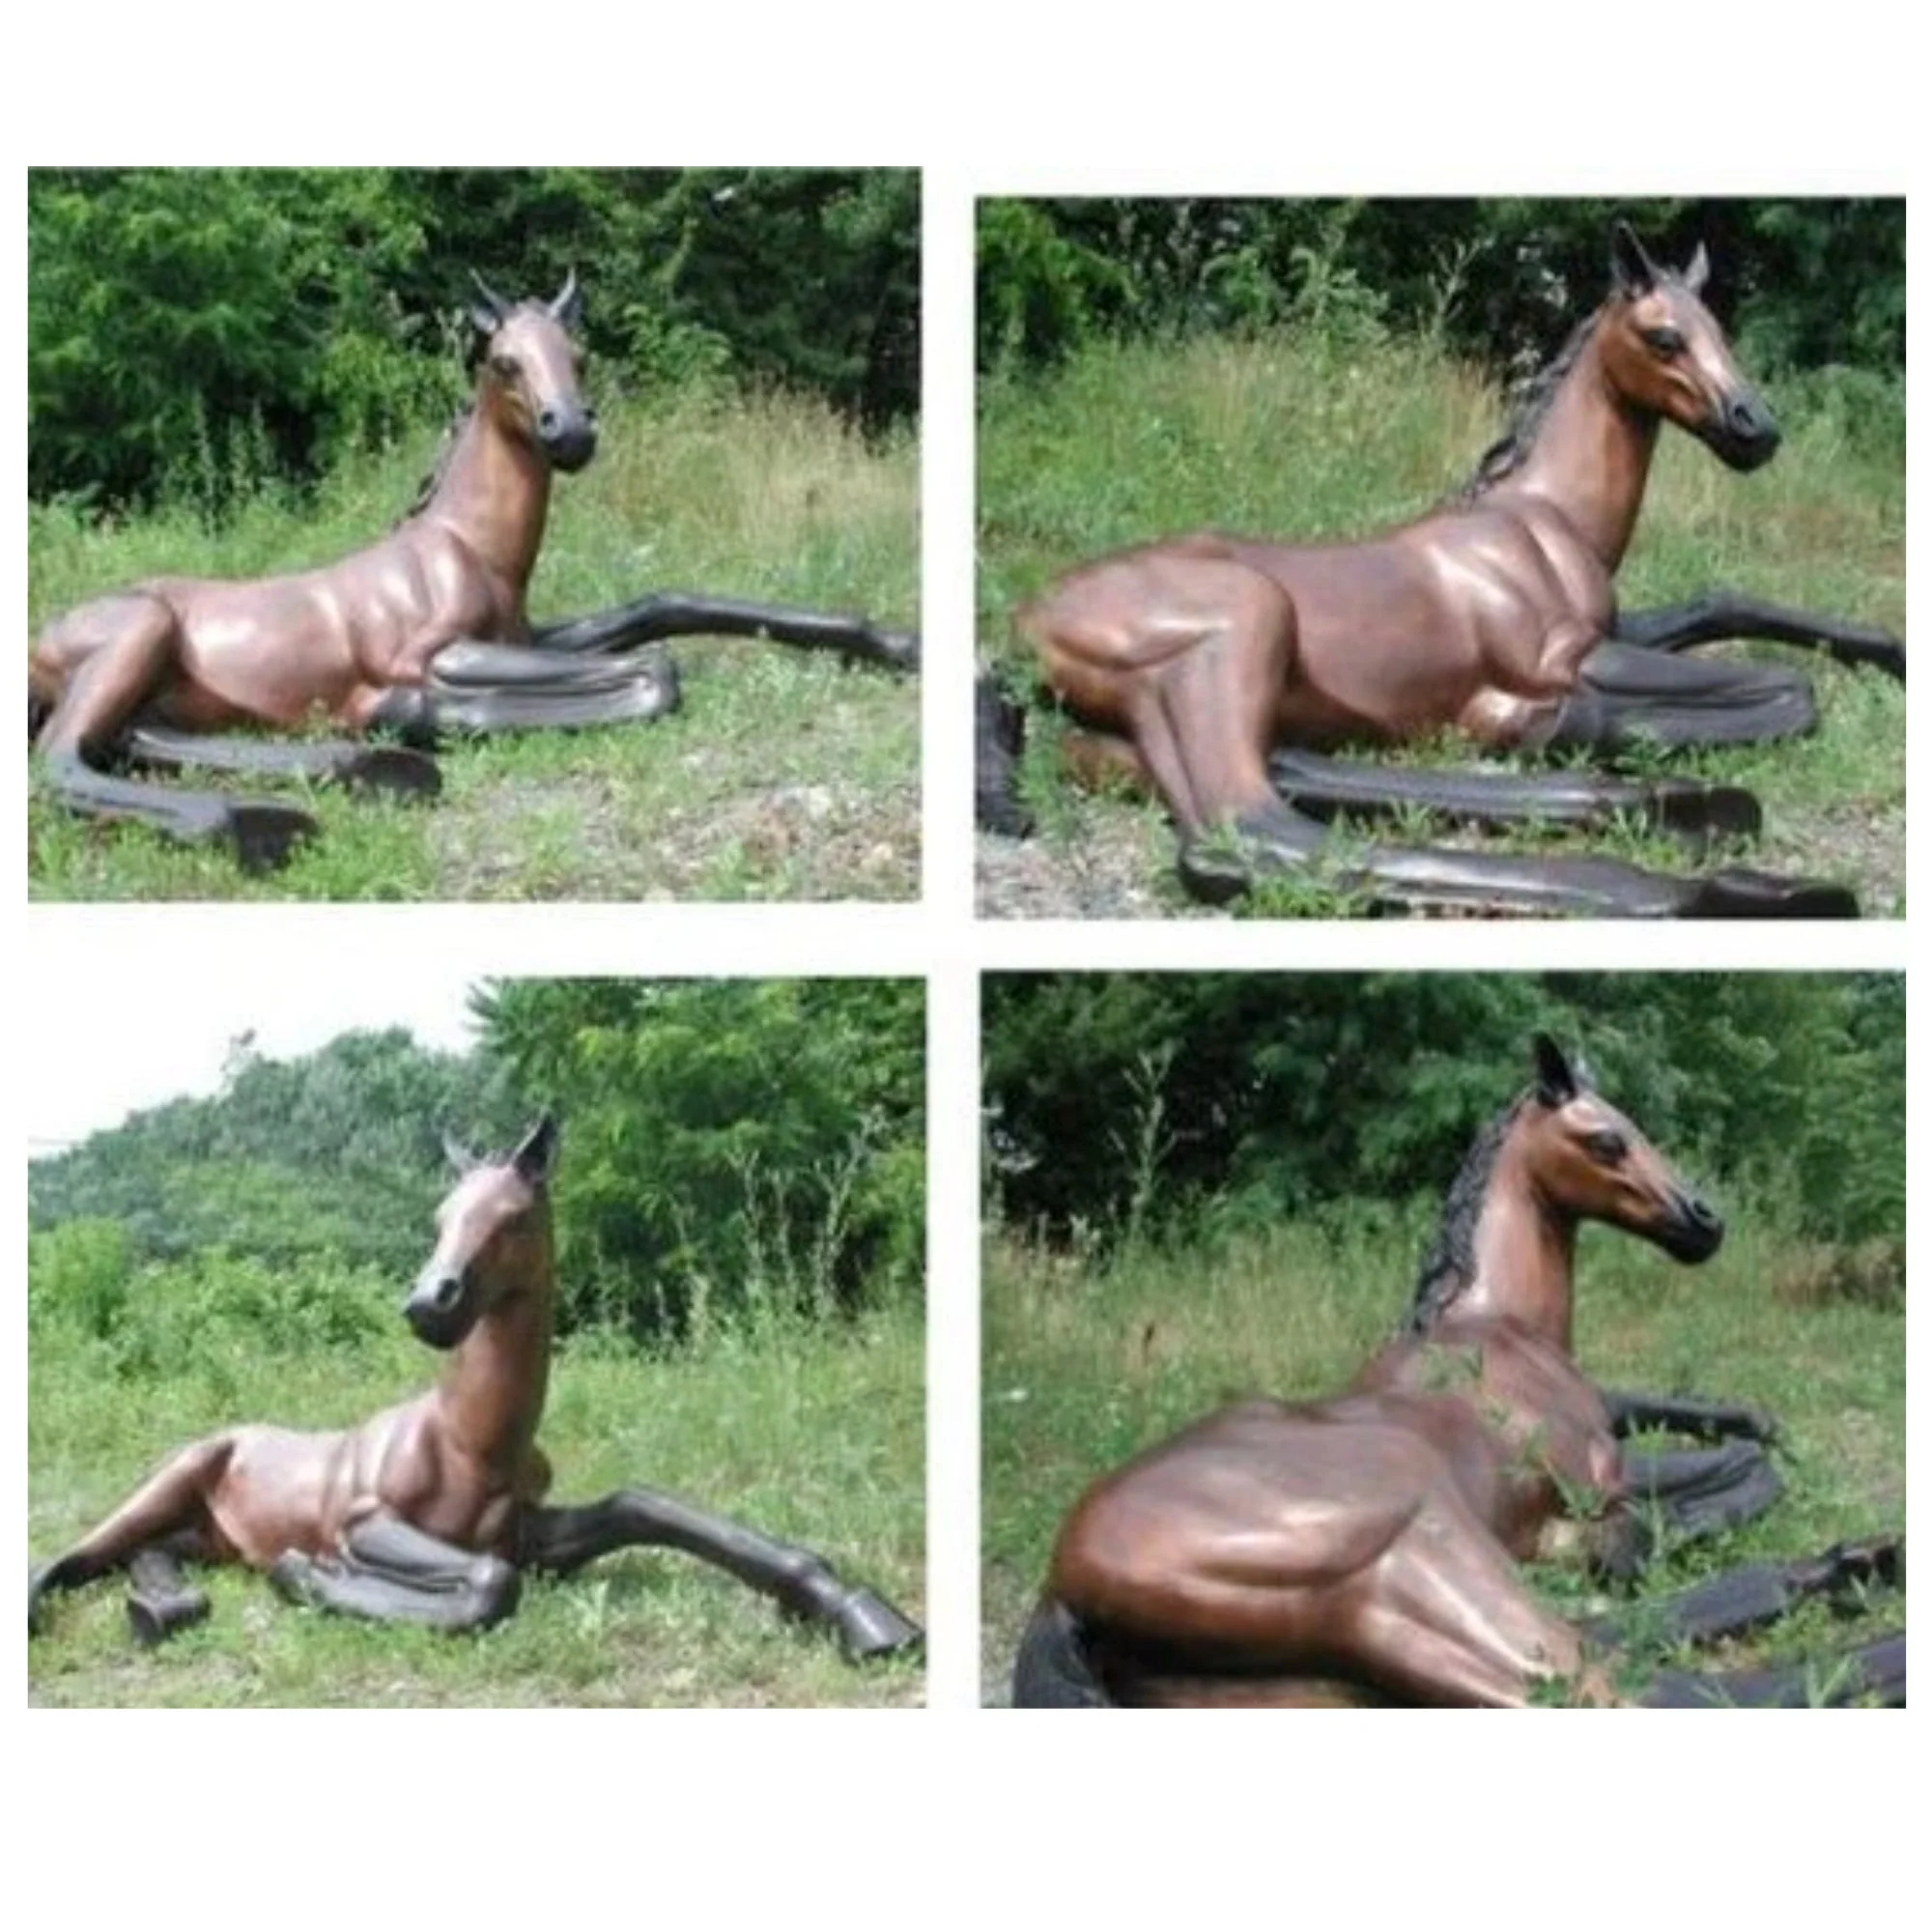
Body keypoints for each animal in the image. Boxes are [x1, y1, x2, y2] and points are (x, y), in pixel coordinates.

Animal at [27, 1117, 922, 1665]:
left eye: (517, 1217)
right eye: (438, 1215)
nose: (431, 1304)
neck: (470, 1440)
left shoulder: (532, 1534)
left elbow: (641, 1507)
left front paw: (864, 1617)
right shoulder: (369, 1520)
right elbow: (489, 1585)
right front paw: (312, 1576)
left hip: (203, 1534)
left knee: (145, 1556)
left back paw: (163, 1612)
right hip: (168, 1484)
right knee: (69, 1558)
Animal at [29, 272, 918, 873]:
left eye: (577, 353)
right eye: (503, 361)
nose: (570, 432)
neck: (468, 548)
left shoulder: (530, 633)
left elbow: (663, 604)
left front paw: (897, 644)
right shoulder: (439, 652)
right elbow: (655, 671)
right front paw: (420, 711)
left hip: (161, 687)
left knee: (134, 740)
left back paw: (368, 768)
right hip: (140, 634)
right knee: (59, 760)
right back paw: (264, 820)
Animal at [980, 222, 1904, 918]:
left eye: (1722, 335)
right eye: (1663, 335)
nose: (1755, 429)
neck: (1541, 515)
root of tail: (1027, 624)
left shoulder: (1619, 629)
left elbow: (1727, 601)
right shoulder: (1571, 658)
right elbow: (1789, 690)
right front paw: (1568, 728)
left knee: (1283, 772)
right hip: (1240, 631)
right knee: (1243, 835)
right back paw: (1730, 882)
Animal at [1012, 1037, 1904, 1707]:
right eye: (1607, 1138)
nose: (1705, 1221)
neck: (1492, 1321)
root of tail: (1063, 1589)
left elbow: (1711, 1432)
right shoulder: (1601, 1474)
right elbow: (1731, 1478)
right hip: (1422, 1571)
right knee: (1654, 1688)